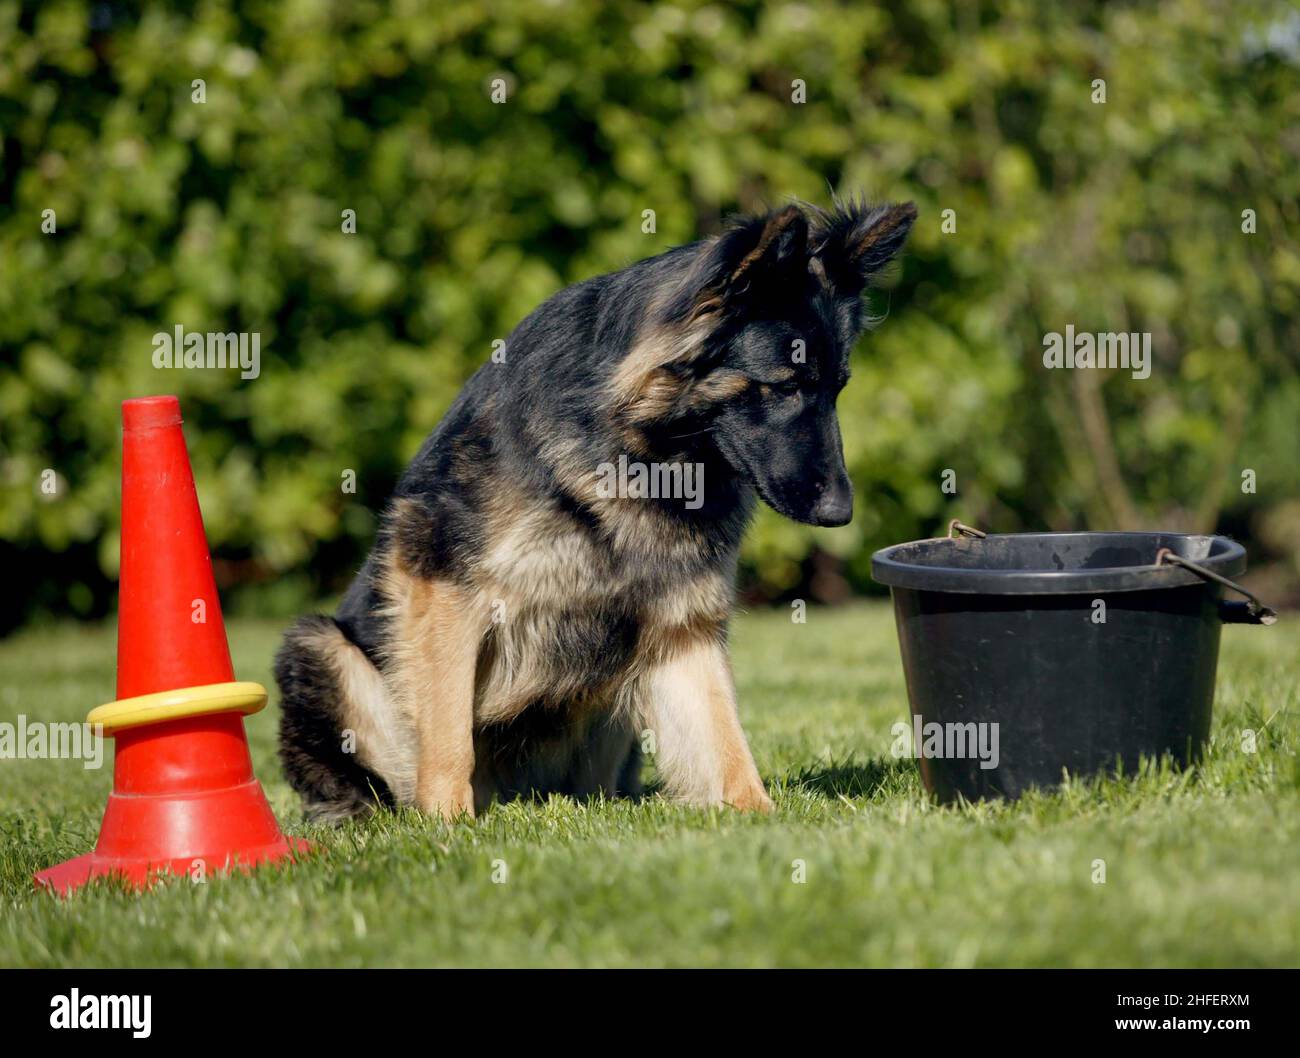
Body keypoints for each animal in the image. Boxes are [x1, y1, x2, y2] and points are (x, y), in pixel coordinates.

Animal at [279, 201, 920, 826]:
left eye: (837, 388)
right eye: (786, 385)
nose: (842, 513)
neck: (643, 453)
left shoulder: (681, 625)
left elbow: (724, 739)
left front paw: (760, 817)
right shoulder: (443, 587)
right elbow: (448, 733)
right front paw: (447, 827)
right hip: (319, 645)